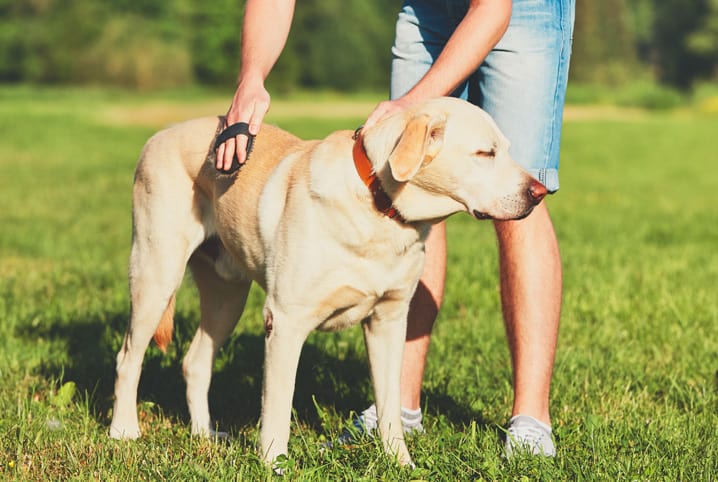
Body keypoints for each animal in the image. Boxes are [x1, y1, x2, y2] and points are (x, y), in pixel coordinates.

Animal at [108, 96, 544, 468]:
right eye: (485, 154)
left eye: (506, 149)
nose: (540, 193)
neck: (380, 208)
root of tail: (160, 134)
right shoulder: (285, 322)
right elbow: (278, 405)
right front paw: (275, 465)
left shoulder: (389, 322)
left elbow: (390, 405)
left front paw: (401, 464)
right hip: (156, 272)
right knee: (128, 356)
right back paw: (124, 430)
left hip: (226, 296)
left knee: (195, 362)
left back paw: (204, 435)